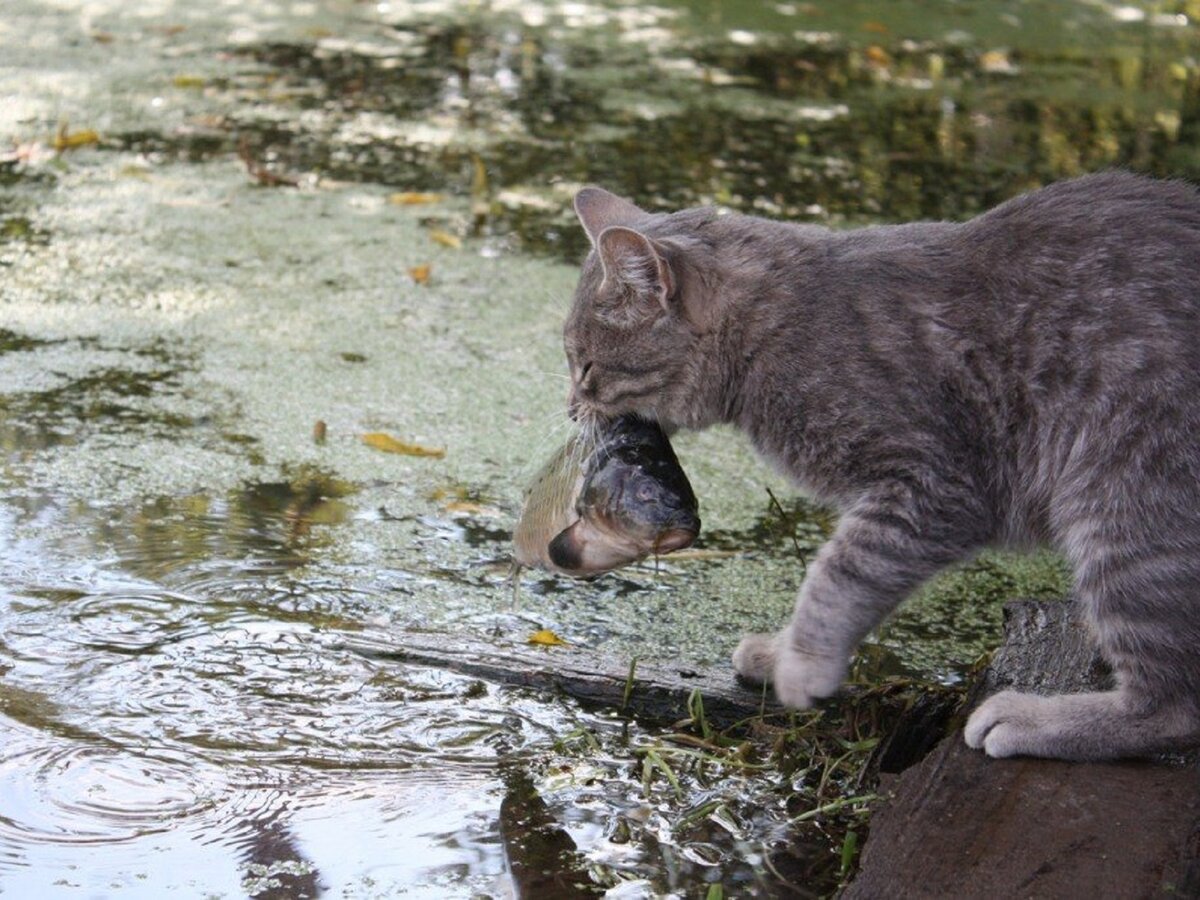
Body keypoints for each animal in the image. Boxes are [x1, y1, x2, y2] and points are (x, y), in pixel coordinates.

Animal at [561, 174, 1200, 763]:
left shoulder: (936, 485)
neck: (777, 328)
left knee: (1172, 707)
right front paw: (782, 650)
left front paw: (802, 663)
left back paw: (1035, 720)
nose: (571, 408)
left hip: (1124, 505)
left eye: (585, 366)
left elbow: (838, 576)